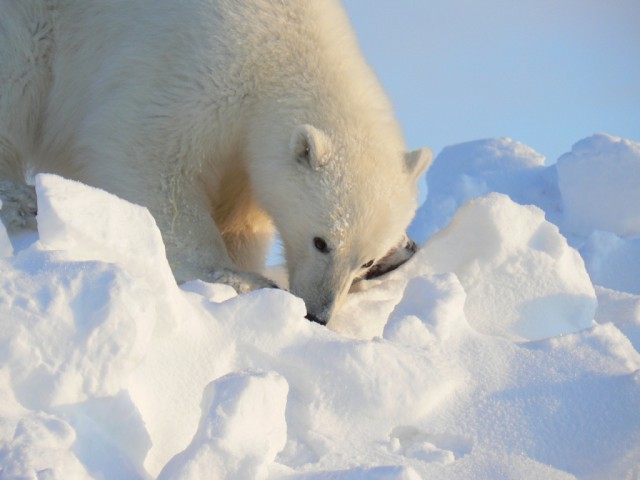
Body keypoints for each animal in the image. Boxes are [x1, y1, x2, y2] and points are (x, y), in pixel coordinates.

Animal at [0, 0, 432, 324]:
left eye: (367, 259)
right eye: (321, 241)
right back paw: (23, 199)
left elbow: (242, 216)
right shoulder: (203, 62)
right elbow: (150, 153)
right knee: (20, 70)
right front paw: (239, 278)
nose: (318, 314)